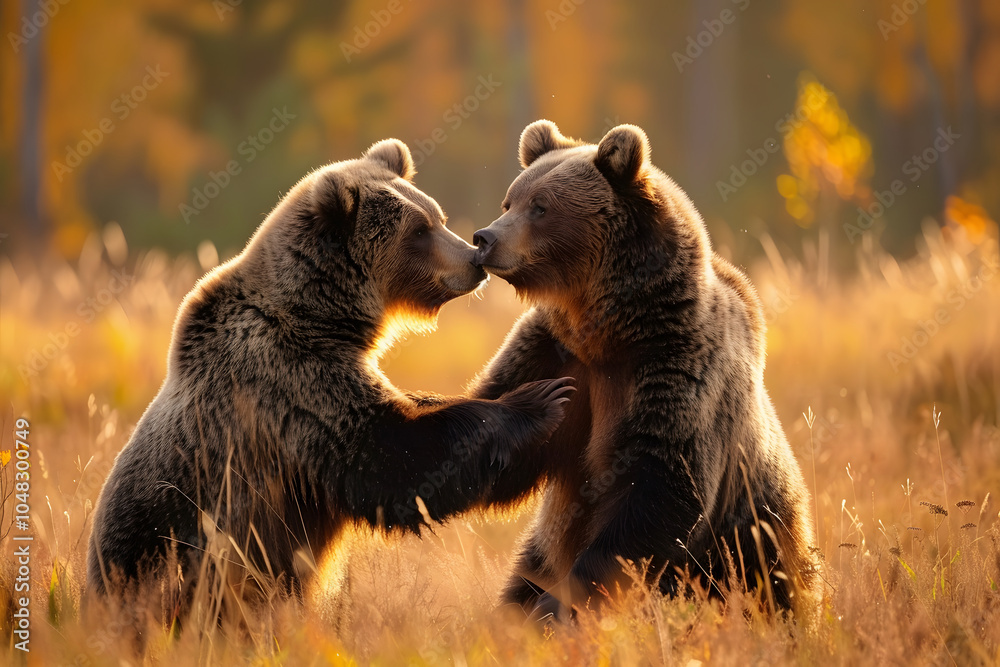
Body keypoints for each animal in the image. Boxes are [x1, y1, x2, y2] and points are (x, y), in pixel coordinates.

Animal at [87, 138, 576, 608]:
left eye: (437, 217)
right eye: (418, 231)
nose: (473, 259)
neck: (322, 317)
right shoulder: (291, 381)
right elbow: (393, 456)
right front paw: (538, 401)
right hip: (176, 549)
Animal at [467, 120, 817, 619]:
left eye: (541, 206)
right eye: (509, 201)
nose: (484, 238)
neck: (610, 332)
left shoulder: (676, 367)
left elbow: (658, 487)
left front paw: (560, 605)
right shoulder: (550, 351)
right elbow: (497, 440)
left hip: (754, 537)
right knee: (523, 574)